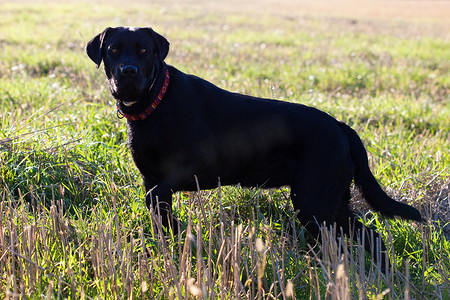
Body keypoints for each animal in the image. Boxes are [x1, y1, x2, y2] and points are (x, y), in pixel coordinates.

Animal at [87, 26, 422, 268]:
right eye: (113, 50)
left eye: (144, 50)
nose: (128, 71)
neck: (154, 103)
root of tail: (340, 126)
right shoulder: (152, 178)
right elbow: (159, 212)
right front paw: (171, 245)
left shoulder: (191, 170)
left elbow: (157, 197)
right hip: (331, 202)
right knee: (368, 235)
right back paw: (381, 272)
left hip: (315, 203)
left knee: (345, 240)